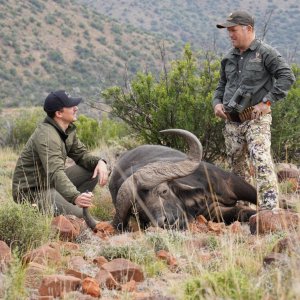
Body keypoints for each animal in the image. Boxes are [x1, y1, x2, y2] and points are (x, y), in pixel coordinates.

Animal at [83, 128, 256, 230]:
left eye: (164, 191)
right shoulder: (212, 212)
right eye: (139, 211)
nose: (165, 222)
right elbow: (239, 212)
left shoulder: (232, 183)